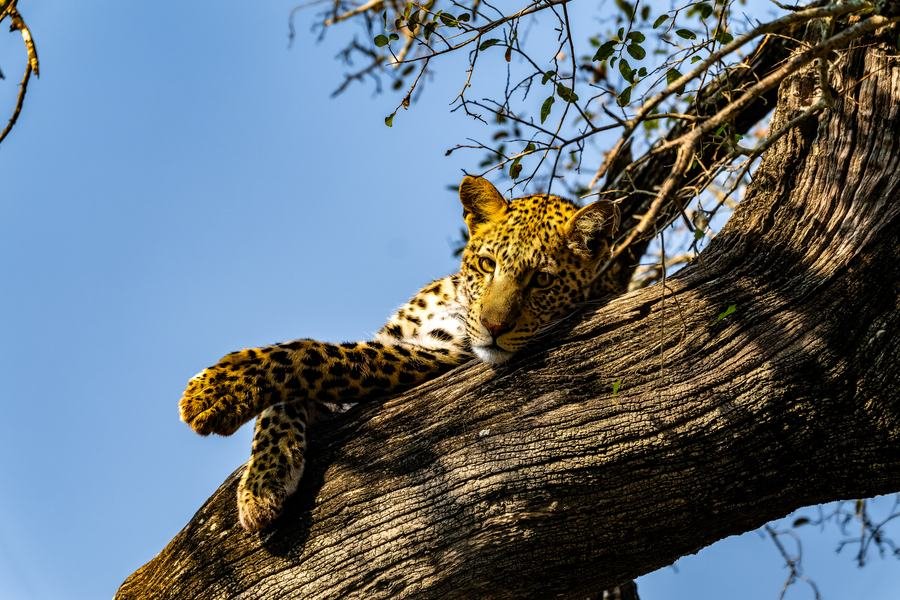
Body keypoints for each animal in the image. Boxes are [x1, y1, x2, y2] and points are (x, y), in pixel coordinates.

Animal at [179, 175, 620, 532]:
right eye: (486, 263)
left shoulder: (433, 354)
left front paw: (214, 392)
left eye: (542, 280)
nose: (493, 328)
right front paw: (262, 483)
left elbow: (309, 354)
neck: (455, 301)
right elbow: (281, 404)